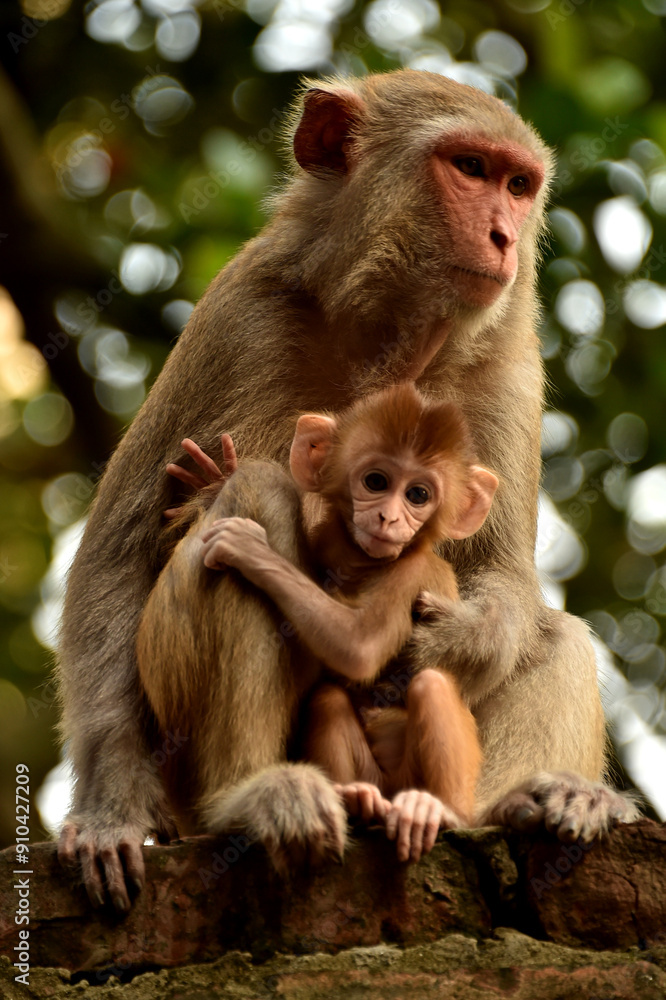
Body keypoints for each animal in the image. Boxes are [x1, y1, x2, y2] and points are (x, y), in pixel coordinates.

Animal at [158, 382, 496, 859]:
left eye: (418, 495)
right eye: (376, 482)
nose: (388, 517)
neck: (358, 566)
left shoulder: (413, 571)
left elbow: (359, 648)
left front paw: (250, 549)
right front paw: (215, 479)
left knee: (430, 683)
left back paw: (436, 810)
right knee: (328, 700)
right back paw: (356, 802)